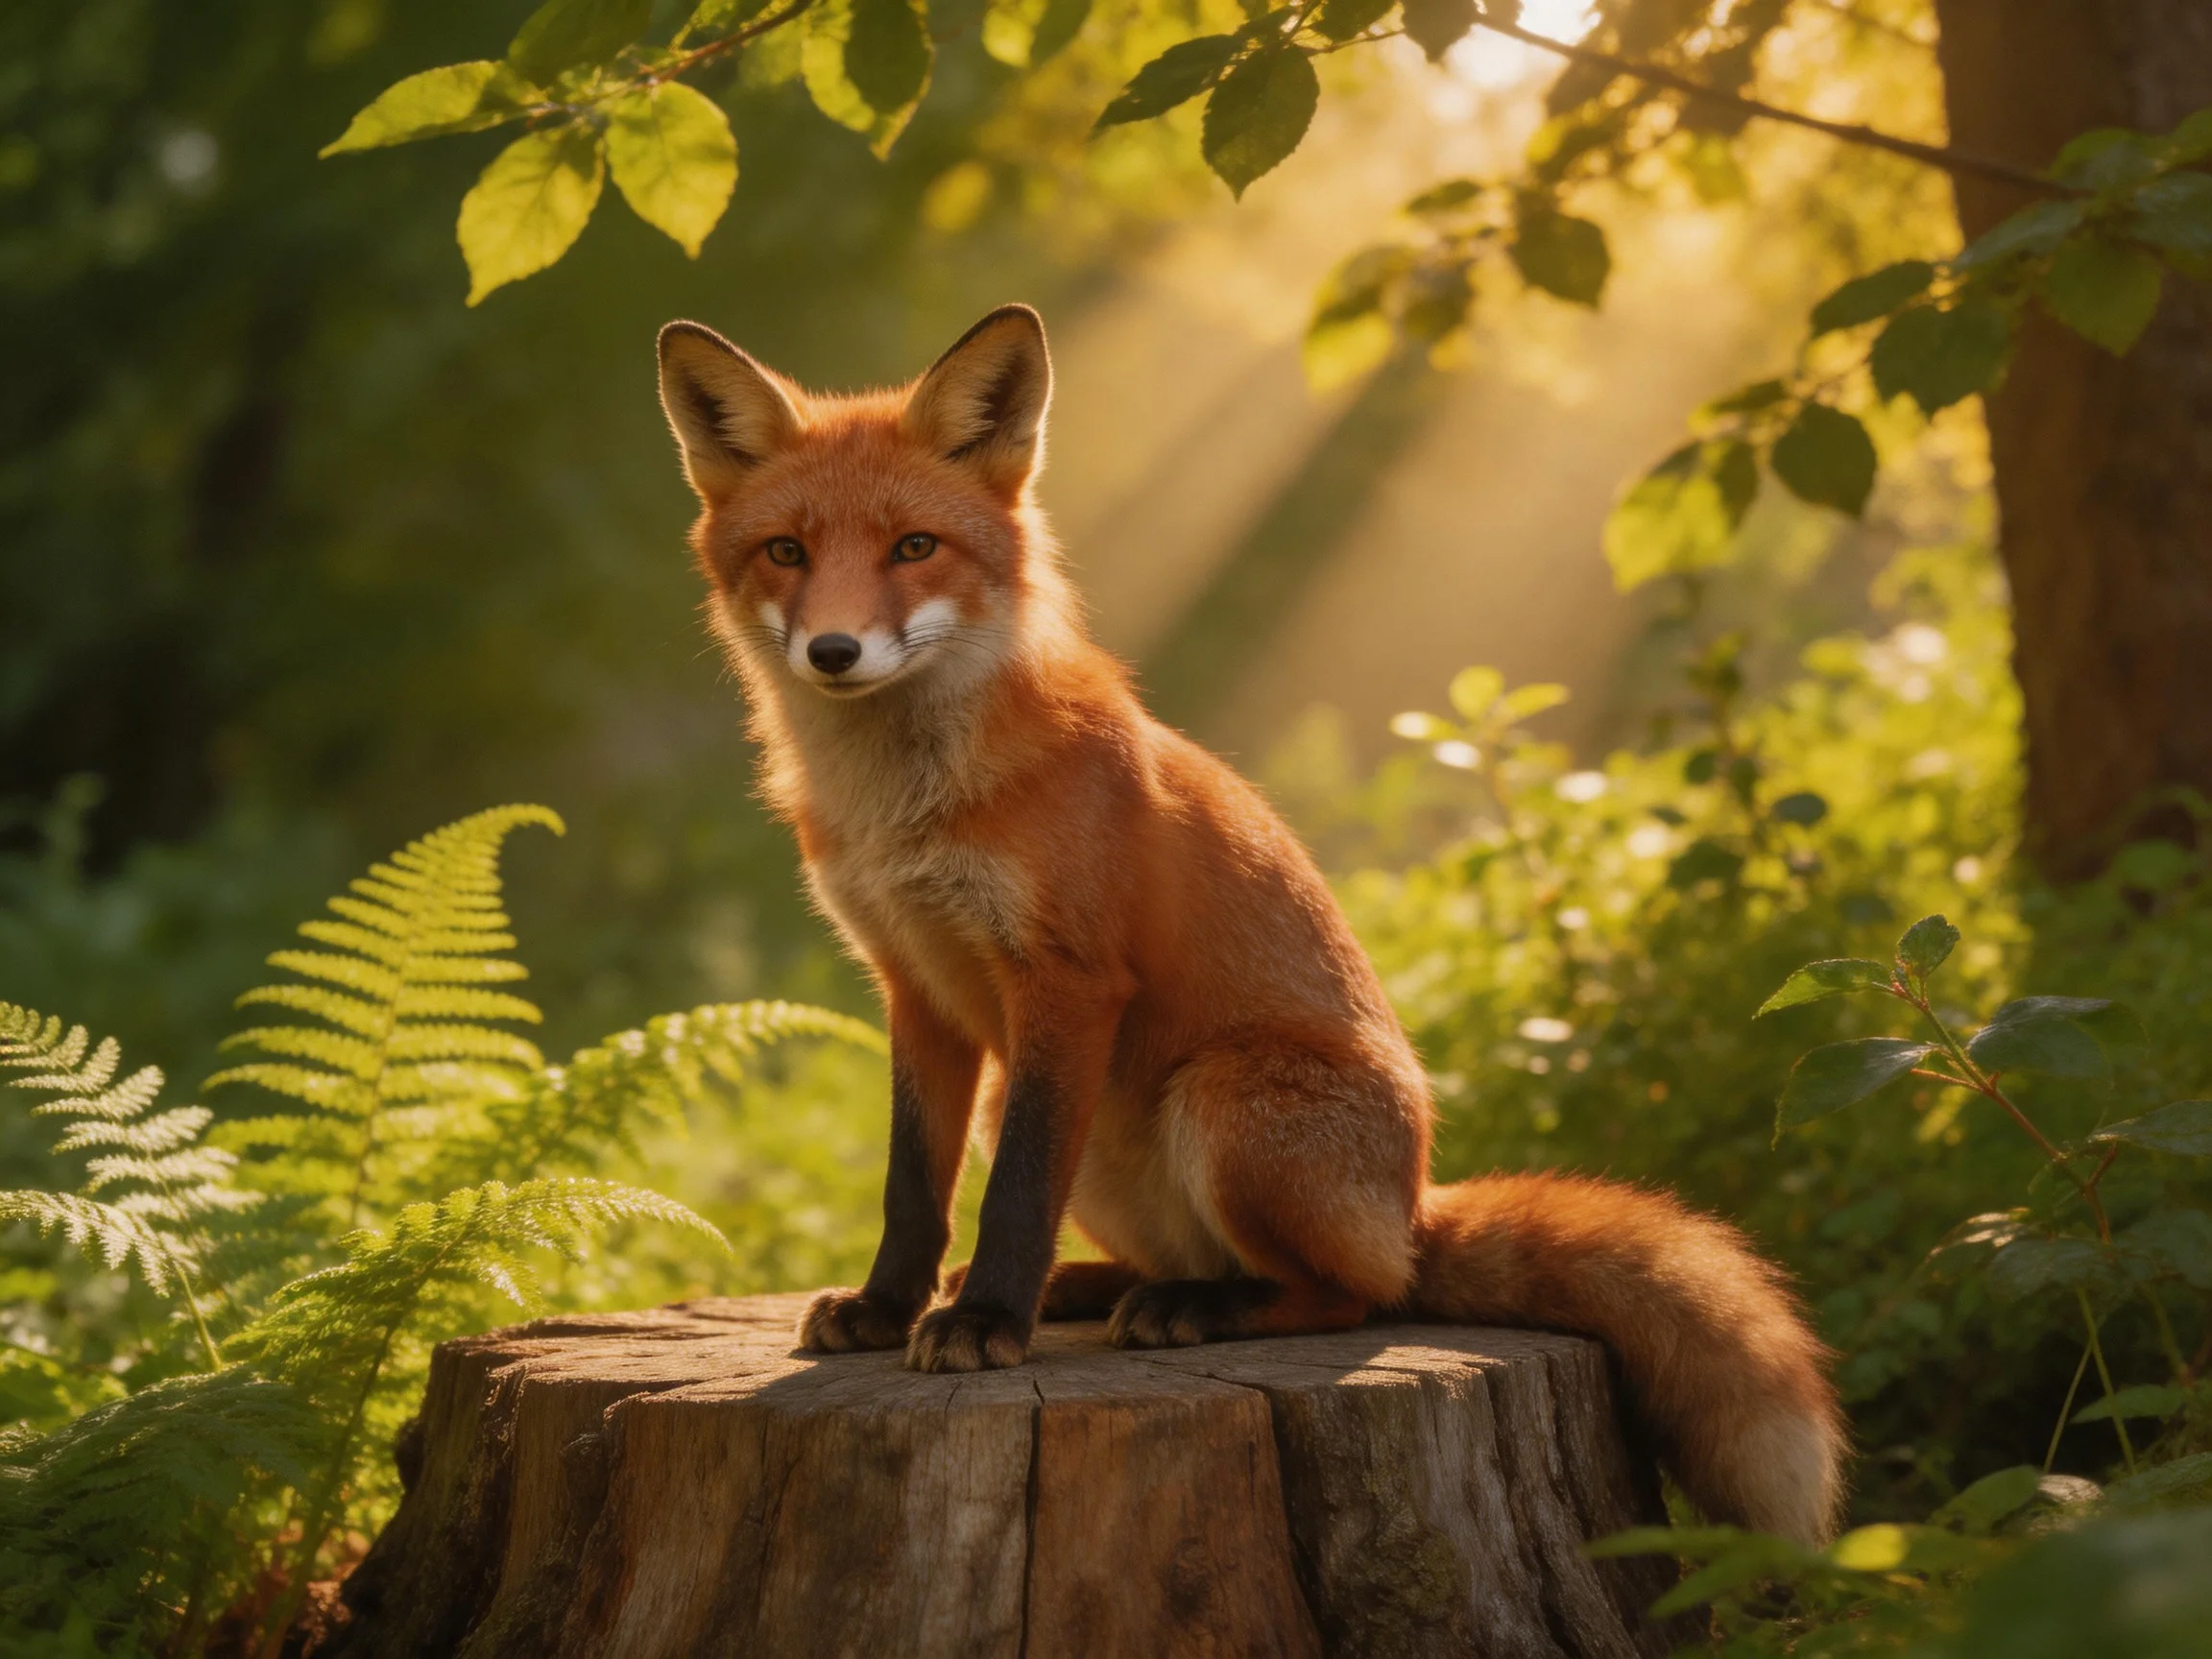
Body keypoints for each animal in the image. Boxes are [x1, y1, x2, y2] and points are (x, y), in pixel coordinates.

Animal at [655, 303, 1847, 1545]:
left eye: (914, 548)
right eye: (786, 553)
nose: (833, 652)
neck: (910, 805)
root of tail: (1414, 1206)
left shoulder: (1067, 978)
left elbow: (1016, 1193)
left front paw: (982, 1320)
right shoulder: (917, 988)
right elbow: (912, 1189)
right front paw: (892, 1307)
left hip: (1225, 1096)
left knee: (1353, 1298)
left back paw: (1190, 1307)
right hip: (1081, 1118)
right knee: (1201, 1258)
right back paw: (1112, 1289)